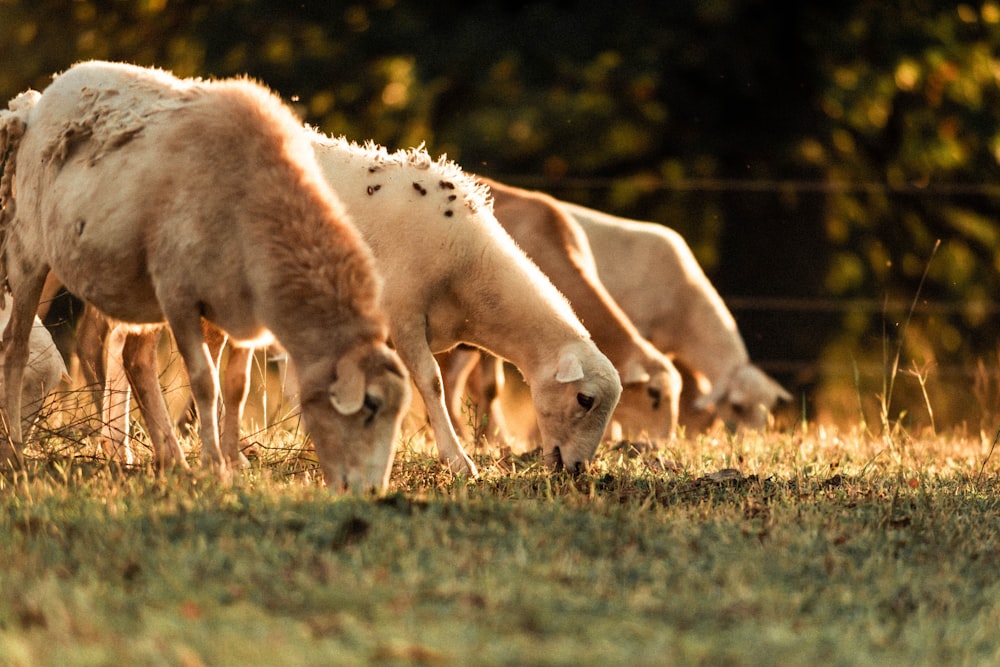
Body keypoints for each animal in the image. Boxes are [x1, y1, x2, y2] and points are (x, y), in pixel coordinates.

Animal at [0, 61, 410, 490]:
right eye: (371, 405)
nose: (372, 491)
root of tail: (38, 101)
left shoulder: (242, 310)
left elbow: (236, 387)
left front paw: (230, 459)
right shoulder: (179, 297)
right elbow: (204, 381)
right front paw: (214, 464)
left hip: (141, 290)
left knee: (136, 359)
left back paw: (170, 458)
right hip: (30, 250)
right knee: (16, 345)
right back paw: (14, 454)